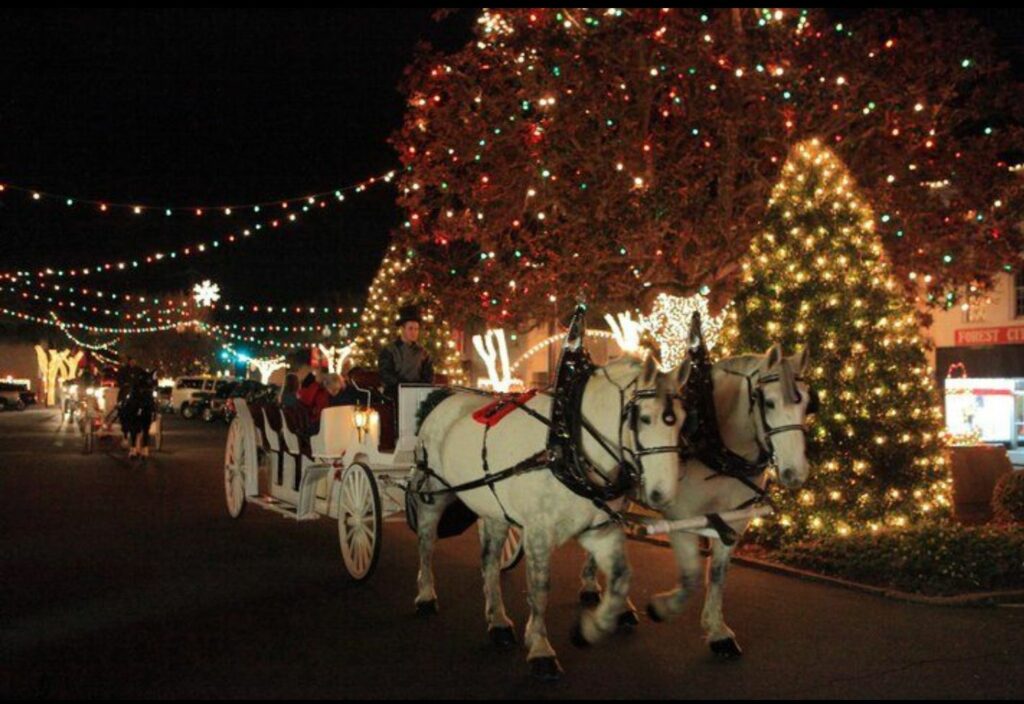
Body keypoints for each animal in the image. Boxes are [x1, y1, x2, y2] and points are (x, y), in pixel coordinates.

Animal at [411, 354, 692, 679]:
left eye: (682, 419)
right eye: (643, 418)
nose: (663, 493)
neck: (566, 447)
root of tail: (441, 400)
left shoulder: (600, 528)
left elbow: (621, 577)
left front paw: (593, 626)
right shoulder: (538, 533)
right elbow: (540, 589)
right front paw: (540, 648)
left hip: (492, 509)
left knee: (489, 563)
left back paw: (498, 622)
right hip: (433, 494)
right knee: (427, 543)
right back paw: (426, 595)